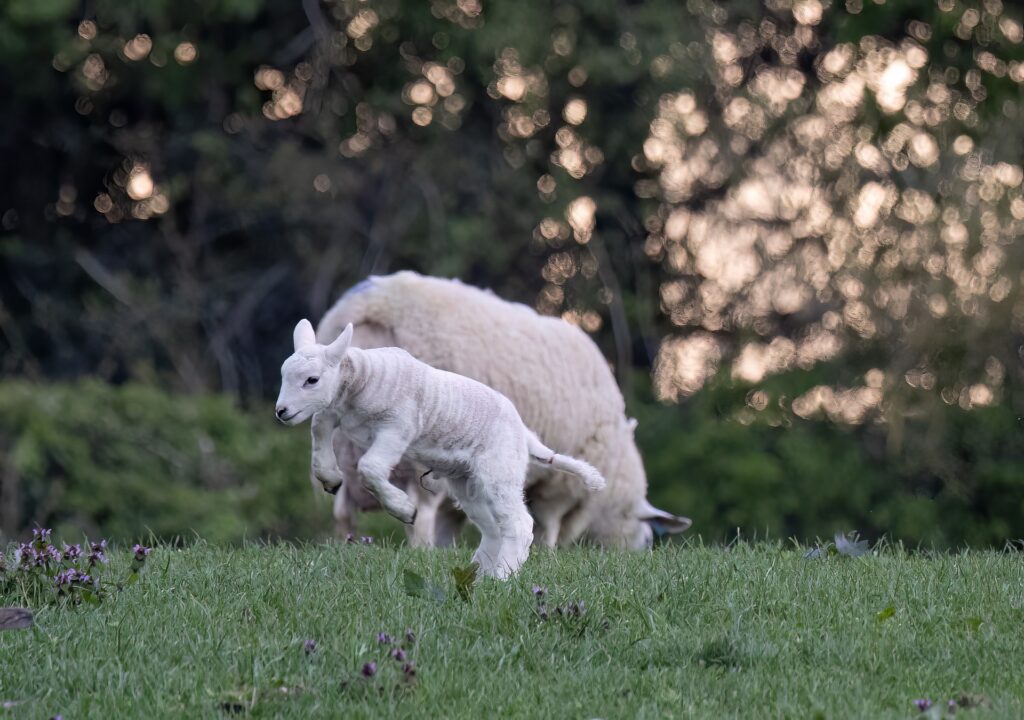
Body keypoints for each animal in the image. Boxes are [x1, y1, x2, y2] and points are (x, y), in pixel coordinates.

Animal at [276, 317, 602, 577]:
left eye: (312, 380)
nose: (281, 411)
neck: (363, 379)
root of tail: (523, 433)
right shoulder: (335, 411)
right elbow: (318, 427)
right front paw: (330, 477)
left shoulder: (398, 427)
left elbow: (369, 467)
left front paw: (404, 509)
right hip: (467, 482)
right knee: (493, 527)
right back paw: (481, 573)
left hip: (499, 469)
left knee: (519, 524)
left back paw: (502, 576)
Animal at [315, 272, 692, 548]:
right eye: (647, 539)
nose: (639, 551)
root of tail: (376, 304)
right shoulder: (556, 489)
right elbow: (547, 526)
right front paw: (546, 554)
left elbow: (453, 521)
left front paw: (449, 549)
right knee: (419, 514)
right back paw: (420, 551)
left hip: (348, 450)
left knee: (342, 511)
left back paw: (347, 550)